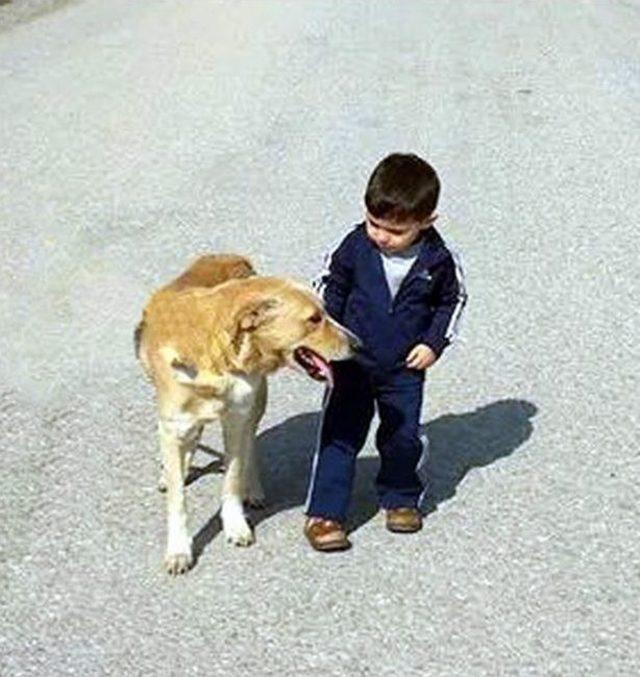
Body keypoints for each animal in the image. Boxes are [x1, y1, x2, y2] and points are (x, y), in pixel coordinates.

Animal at [136, 256, 356, 572]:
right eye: (314, 319)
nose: (358, 344)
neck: (215, 351)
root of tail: (229, 256)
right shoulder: (173, 424)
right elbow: (178, 501)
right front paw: (179, 548)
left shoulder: (237, 418)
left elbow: (232, 479)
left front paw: (235, 524)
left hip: (257, 401)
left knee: (249, 443)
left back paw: (252, 488)